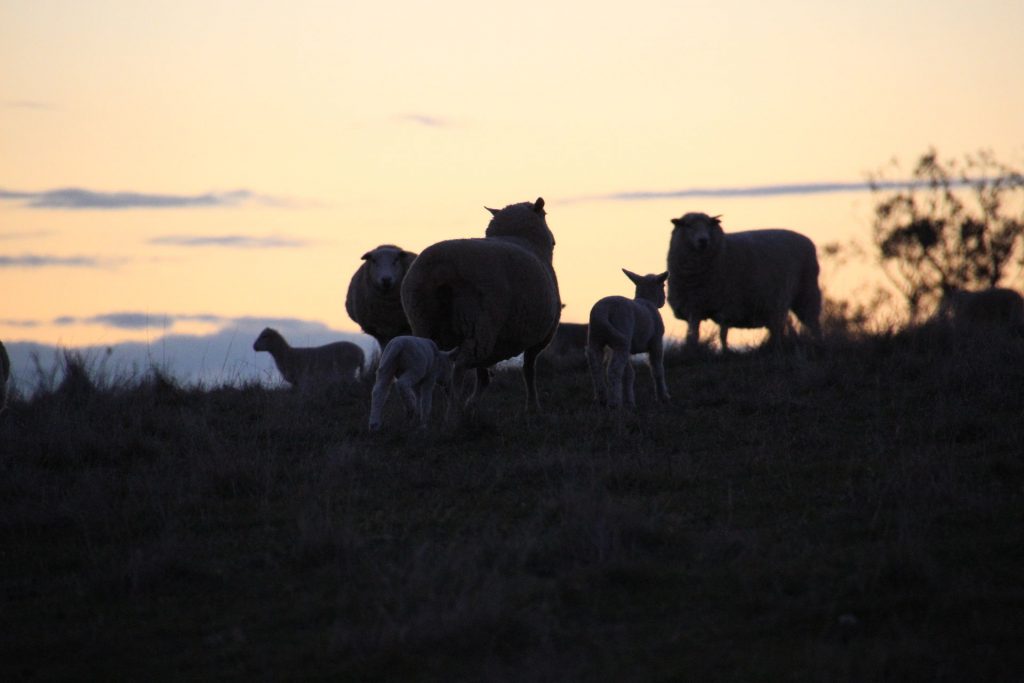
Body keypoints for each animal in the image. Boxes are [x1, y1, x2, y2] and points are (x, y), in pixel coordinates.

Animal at [399, 197, 561, 411]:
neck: (522, 237)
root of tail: (442, 268)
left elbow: (483, 372)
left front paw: (474, 401)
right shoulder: (540, 338)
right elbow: (528, 371)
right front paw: (533, 406)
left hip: (425, 321)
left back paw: (425, 407)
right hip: (479, 324)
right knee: (459, 367)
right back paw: (454, 408)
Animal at [663, 211, 823, 352]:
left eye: (709, 225)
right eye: (688, 225)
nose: (703, 240)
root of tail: (807, 240)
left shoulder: (727, 305)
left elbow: (722, 334)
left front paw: (725, 352)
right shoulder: (693, 307)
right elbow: (693, 334)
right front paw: (692, 350)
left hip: (806, 292)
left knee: (812, 323)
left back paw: (817, 344)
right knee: (777, 329)